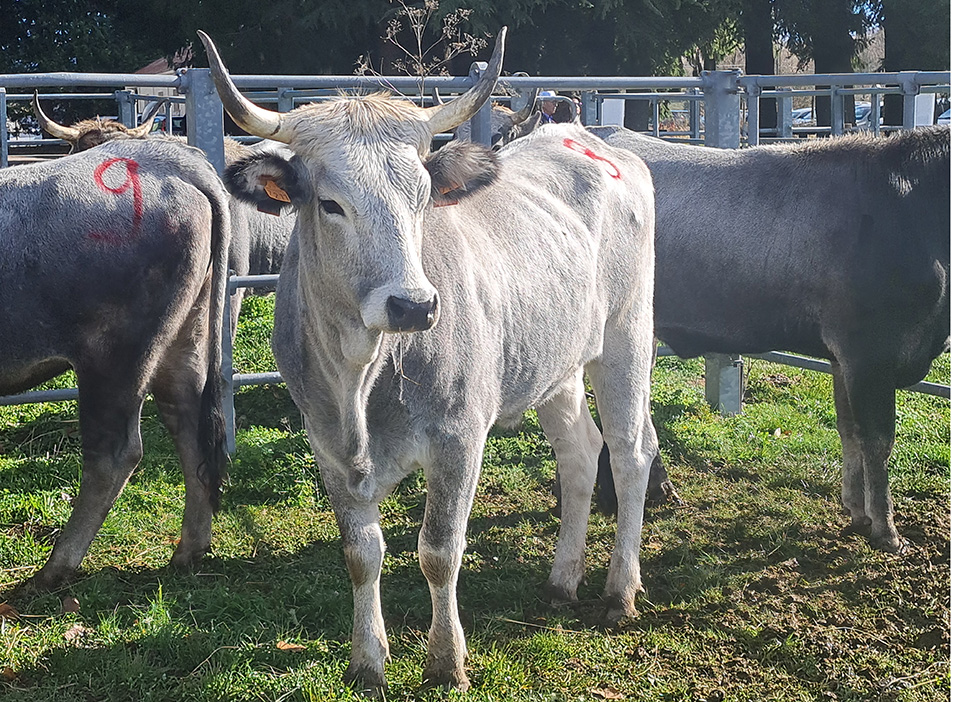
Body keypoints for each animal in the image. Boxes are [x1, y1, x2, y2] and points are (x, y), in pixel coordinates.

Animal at [0, 138, 232, 588]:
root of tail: (166, 160)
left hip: (114, 356)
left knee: (114, 453)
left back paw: (53, 570)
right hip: (185, 337)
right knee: (188, 425)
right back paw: (190, 549)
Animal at [199, 26, 656, 692]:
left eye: (421, 198)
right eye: (331, 203)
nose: (414, 305)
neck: (362, 376)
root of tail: (595, 144)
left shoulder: (458, 438)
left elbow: (439, 551)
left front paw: (447, 661)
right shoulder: (328, 445)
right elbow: (361, 555)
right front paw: (368, 660)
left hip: (627, 338)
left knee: (629, 452)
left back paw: (620, 590)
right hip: (555, 366)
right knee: (580, 453)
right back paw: (561, 580)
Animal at [588, 126, 948, 556]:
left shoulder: (843, 358)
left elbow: (849, 431)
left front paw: (858, 513)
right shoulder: (869, 354)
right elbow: (878, 441)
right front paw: (887, 531)